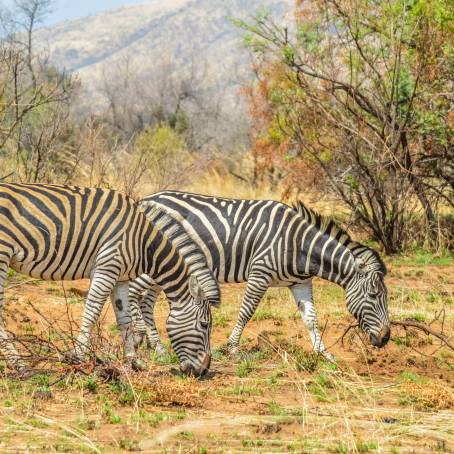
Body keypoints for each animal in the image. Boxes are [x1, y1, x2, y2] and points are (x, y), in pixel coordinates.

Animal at [0, 184, 220, 376]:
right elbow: (92, 311)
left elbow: (125, 319)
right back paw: (20, 366)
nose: (204, 371)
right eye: (204, 324)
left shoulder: (120, 277)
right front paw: (78, 356)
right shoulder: (108, 266)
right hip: (3, 254)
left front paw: (132, 361)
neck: (144, 243)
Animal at [129, 190, 390, 360]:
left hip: (165, 267)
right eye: (374, 295)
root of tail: (145, 199)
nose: (385, 339)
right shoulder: (260, 272)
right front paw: (233, 348)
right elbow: (247, 311)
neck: (300, 244)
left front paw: (324, 355)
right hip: (156, 260)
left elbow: (310, 319)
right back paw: (138, 337)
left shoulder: (300, 282)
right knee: (134, 291)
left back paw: (158, 347)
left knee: (146, 301)